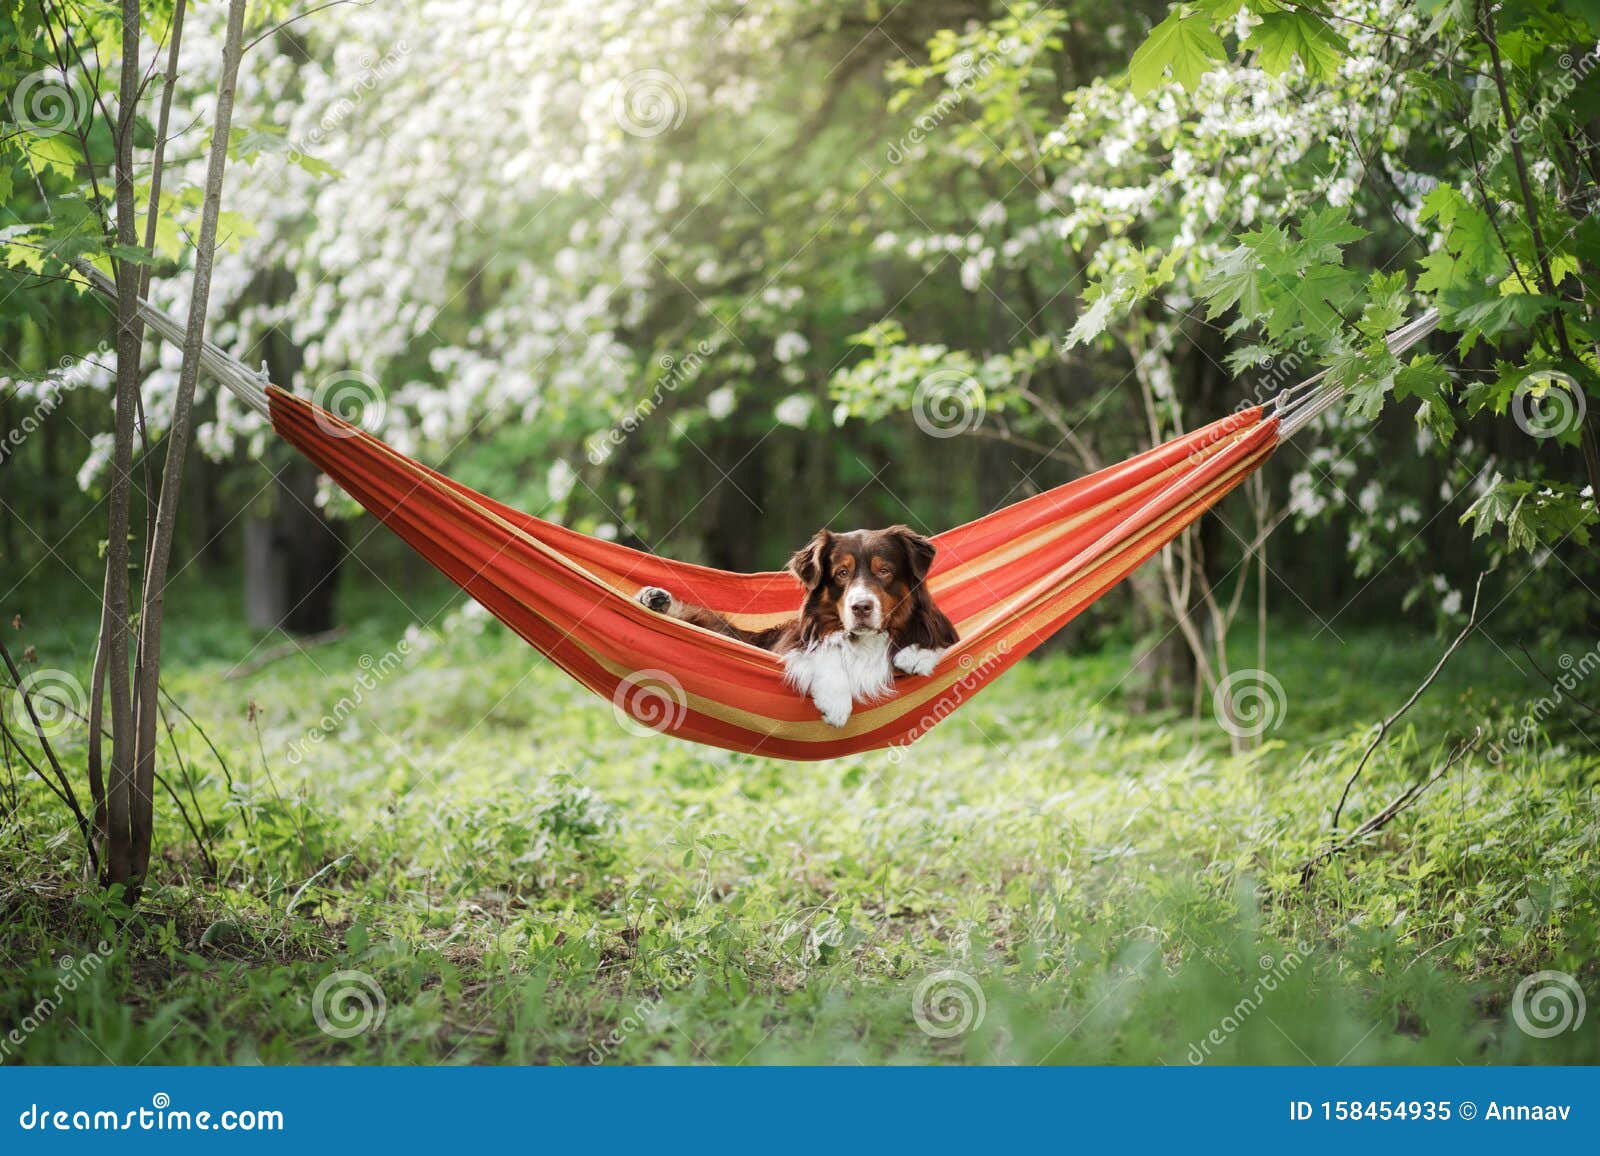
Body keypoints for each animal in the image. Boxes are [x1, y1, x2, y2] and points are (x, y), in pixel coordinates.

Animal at [636, 528, 960, 723]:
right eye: (842, 573)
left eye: (884, 571)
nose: (861, 607)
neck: (866, 640)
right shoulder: (795, 643)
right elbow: (826, 651)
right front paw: (836, 703)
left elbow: (940, 644)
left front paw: (916, 654)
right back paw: (652, 598)